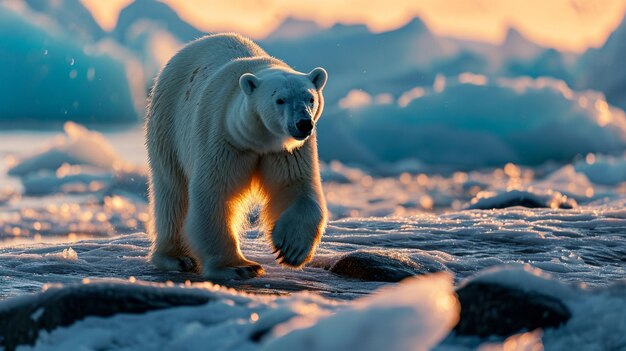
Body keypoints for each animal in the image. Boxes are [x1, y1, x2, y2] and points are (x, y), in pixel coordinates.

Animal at [144, 33, 330, 280]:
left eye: (310, 98)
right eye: (280, 99)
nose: (303, 123)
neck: (258, 140)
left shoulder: (286, 151)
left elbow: (296, 186)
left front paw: (292, 249)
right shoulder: (225, 139)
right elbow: (214, 192)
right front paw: (240, 267)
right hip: (168, 123)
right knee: (173, 191)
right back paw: (176, 257)